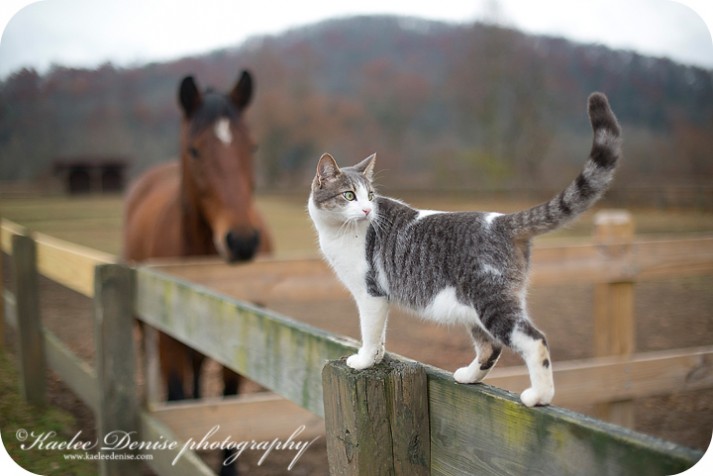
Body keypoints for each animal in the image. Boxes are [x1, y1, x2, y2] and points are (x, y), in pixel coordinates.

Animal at [124, 70, 272, 476]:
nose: (242, 240)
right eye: (195, 150)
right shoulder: (168, 341)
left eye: (252, 147)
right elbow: (177, 396)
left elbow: (230, 399)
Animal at [308, 94, 620, 410]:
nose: (367, 210)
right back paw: (469, 376)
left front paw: (363, 360)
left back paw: (539, 396)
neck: (339, 231)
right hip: (476, 307)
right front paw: (379, 357)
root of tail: (501, 221)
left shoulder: (370, 293)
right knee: (490, 346)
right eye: (349, 195)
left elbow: (370, 332)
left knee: (534, 340)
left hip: (491, 299)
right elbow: (381, 334)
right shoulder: (381, 297)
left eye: (369, 195)